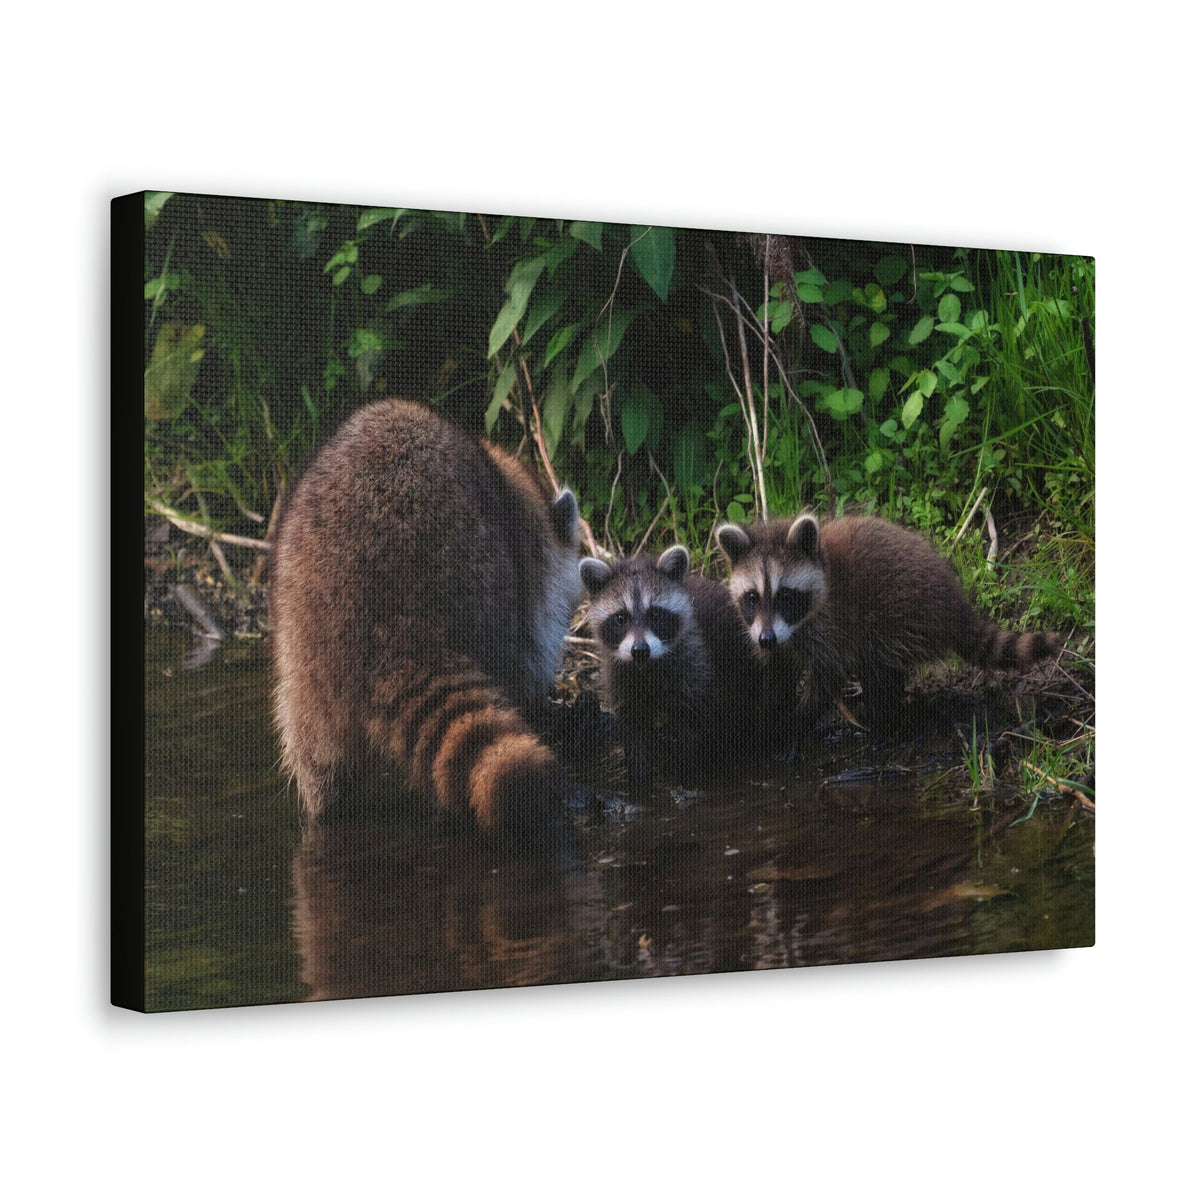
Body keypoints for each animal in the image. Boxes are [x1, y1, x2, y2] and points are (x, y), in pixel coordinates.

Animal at [270, 399, 582, 834]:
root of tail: (388, 625)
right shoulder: (524, 572)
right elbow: (529, 651)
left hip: (300, 654)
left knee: (315, 761)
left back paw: (327, 810)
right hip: (479, 576)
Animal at [579, 545, 760, 795]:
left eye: (655, 614)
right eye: (620, 618)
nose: (640, 650)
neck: (647, 666)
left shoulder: (694, 670)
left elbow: (692, 733)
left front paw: (685, 779)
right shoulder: (621, 679)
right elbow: (635, 736)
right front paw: (639, 783)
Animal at [716, 513, 1061, 737]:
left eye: (786, 595)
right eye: (752, 597)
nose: (766, 639)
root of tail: (955, 603)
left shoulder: (832, 625)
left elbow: (829, 675)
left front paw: (796, 720)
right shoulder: (773, 634)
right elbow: (778, 671)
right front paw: (772, 710)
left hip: (902, 614)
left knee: (878, 667)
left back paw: (884, 720)